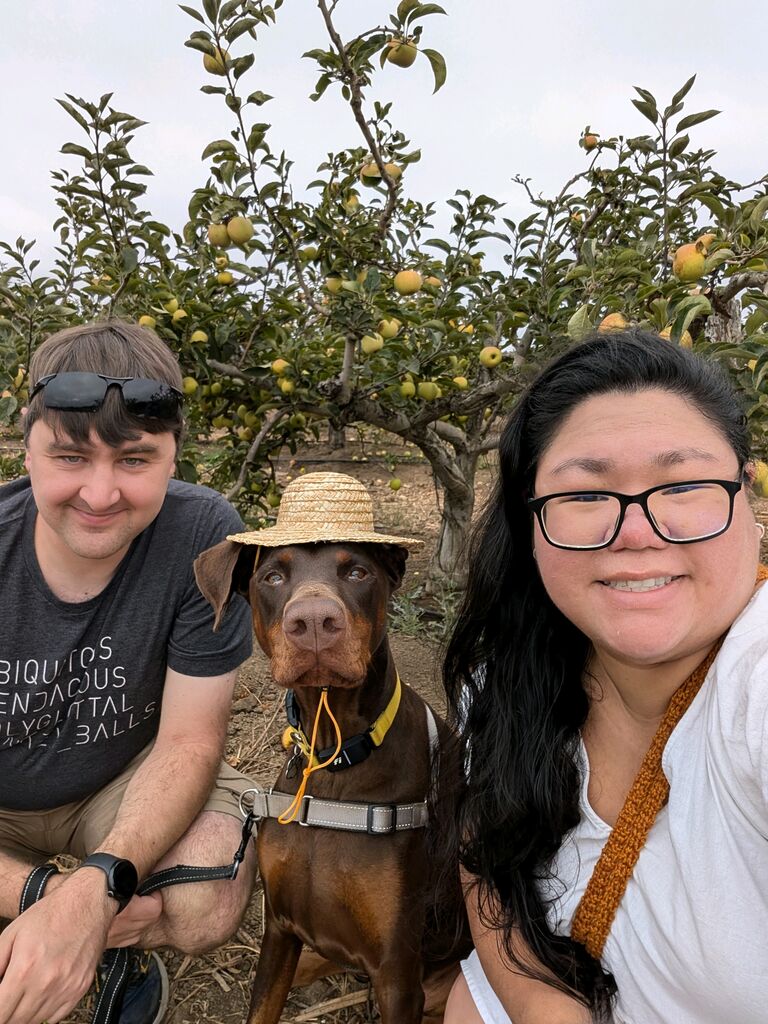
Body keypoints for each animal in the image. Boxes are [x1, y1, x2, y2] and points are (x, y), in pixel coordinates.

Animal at [192, 471, 468, 1024]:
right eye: (272, 578)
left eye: (357, 571)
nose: (315, 622)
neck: (335, 761)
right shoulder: (279, 931)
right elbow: (262, 1006)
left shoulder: (397, 973)